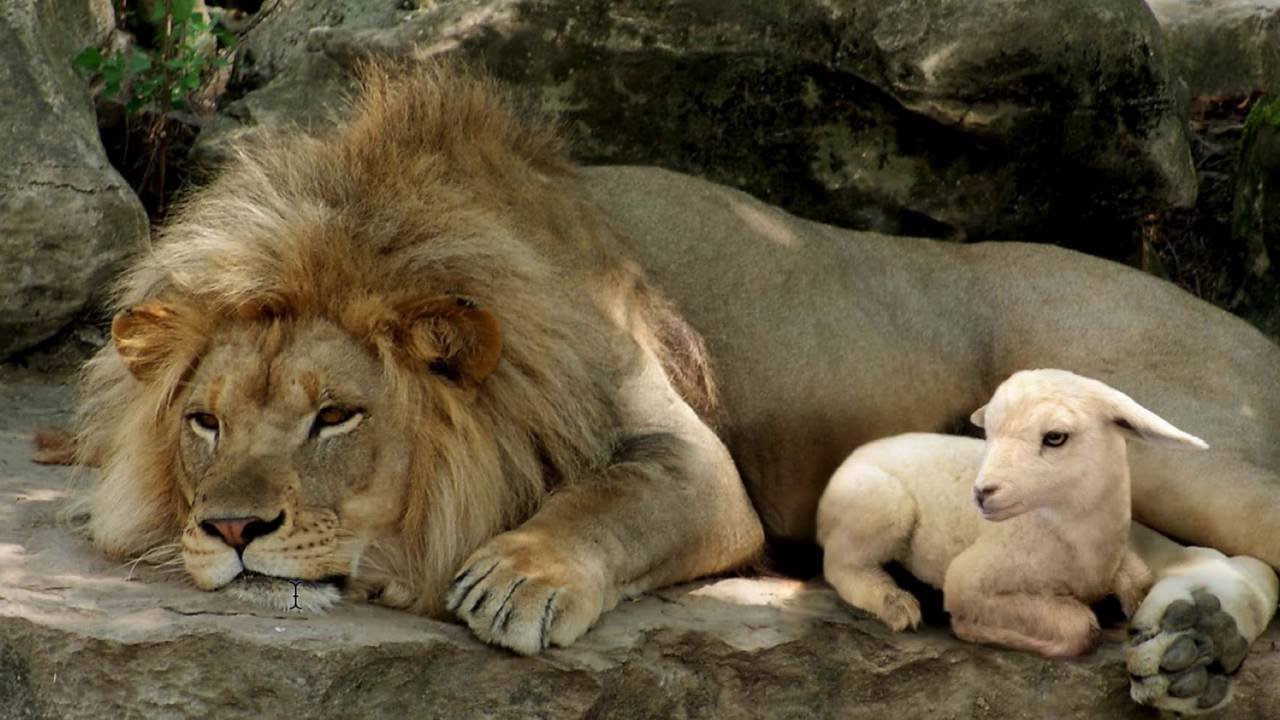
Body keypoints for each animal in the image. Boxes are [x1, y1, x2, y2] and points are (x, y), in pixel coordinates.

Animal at [816, 368, 1209, 657]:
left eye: (1055, 437)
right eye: (987, 433)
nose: (981, 493)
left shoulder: (1119, 563)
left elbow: (1140, 583)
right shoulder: (966, 579)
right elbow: (1081, 627)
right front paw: (974, 629)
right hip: (883, 505)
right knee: (839, 566)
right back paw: (894, 603)